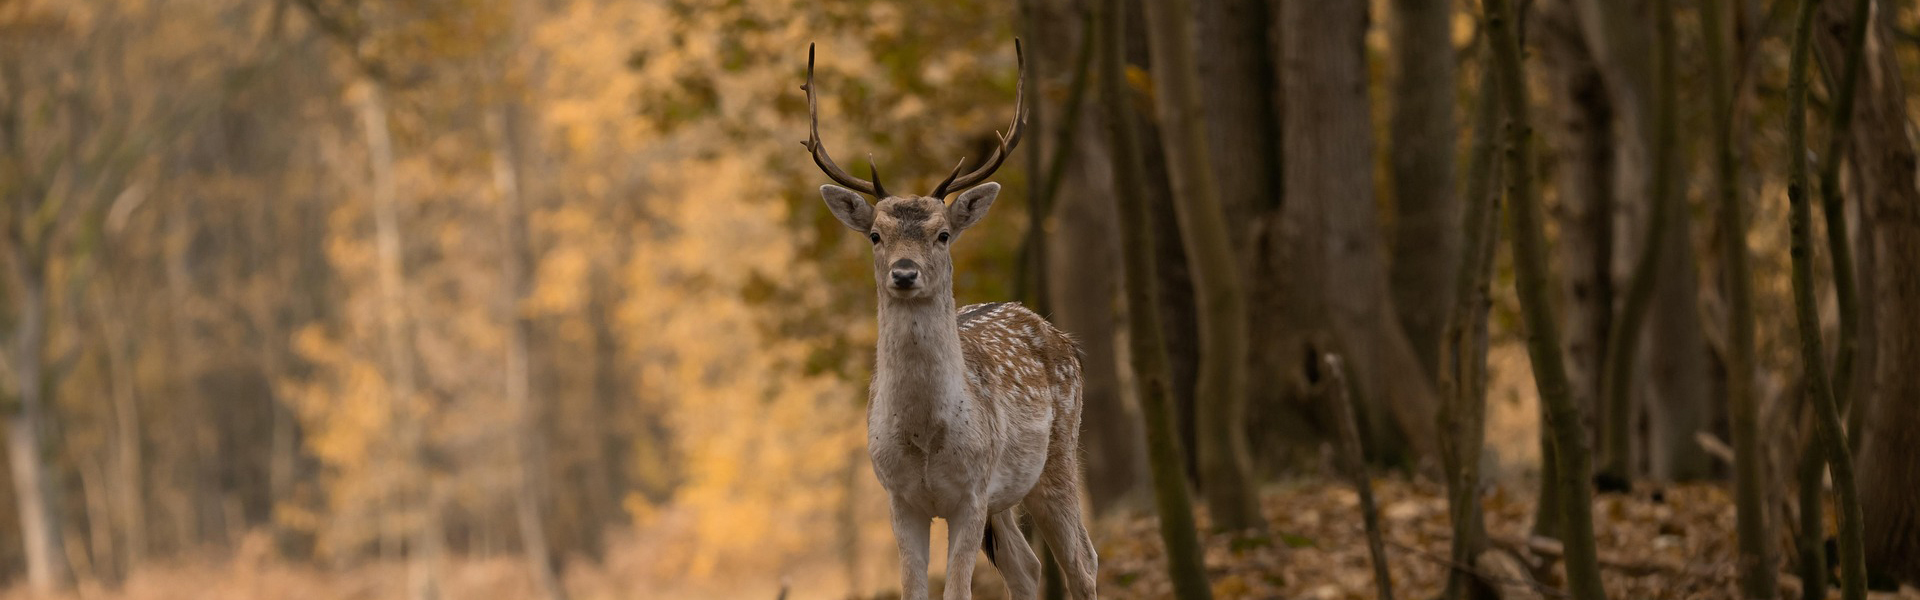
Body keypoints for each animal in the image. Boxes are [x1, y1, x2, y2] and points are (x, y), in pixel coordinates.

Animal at [803, 40, 1098, 600]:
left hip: (1058, 456)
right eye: (875, 235)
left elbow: (957, 592)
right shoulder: (899, 497)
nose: (904, 272)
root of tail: (1063, 337)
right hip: (1006, 497)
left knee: (1081, 561)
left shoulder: (971, 492)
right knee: (1029, 567)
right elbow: (914, 590)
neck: (924, 438)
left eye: (942, 234)